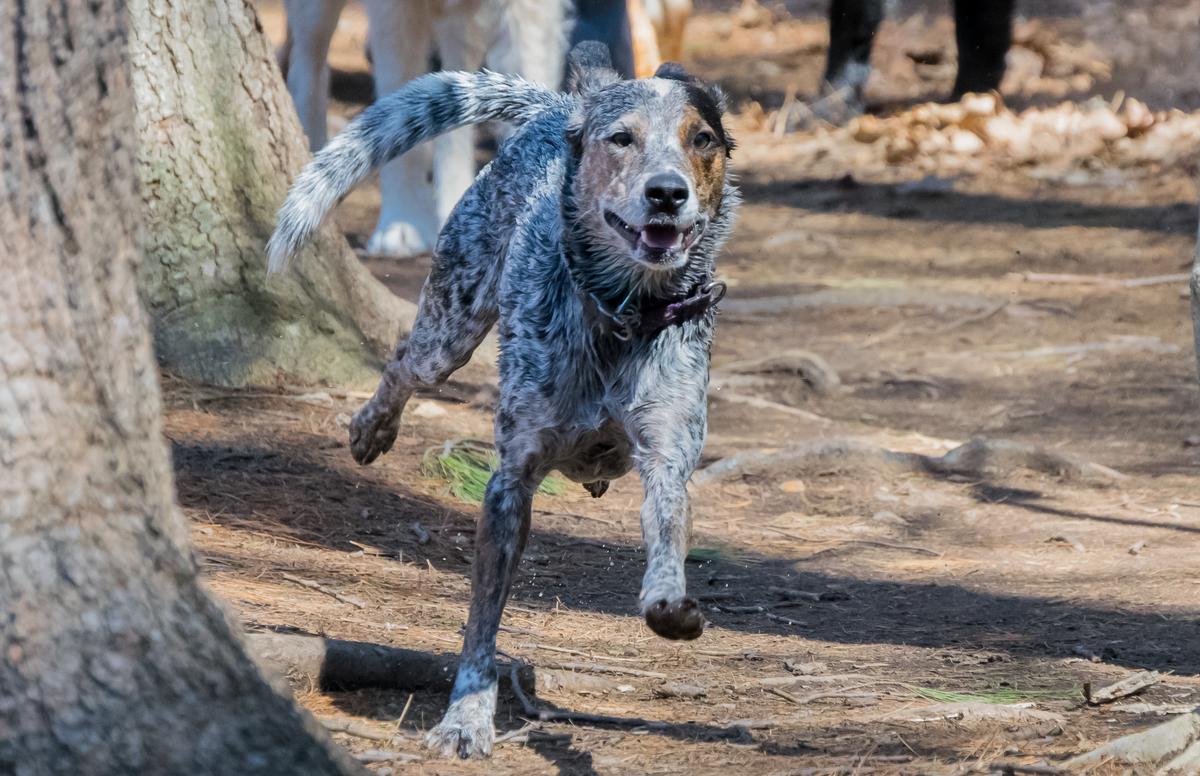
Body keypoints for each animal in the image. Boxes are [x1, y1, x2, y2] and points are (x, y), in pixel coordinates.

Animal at [271, 42, 734, 758]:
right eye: (621, 139)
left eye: (701, 139)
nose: (667, 192)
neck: (622, 316)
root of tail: (556, 107)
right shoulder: (510, 483)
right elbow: (481, 622)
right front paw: (465, 716)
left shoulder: (667, 459)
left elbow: (664, 555)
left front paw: (671, 609)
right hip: (451, 327)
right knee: (404, 361)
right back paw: (372, 428)